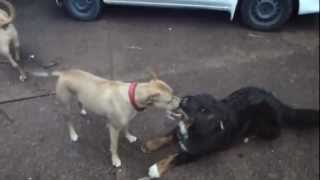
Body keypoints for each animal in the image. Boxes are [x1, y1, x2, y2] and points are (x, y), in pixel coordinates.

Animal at [34, 69, 180, 167]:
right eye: (169, 101)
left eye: (174, 93)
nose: (181, 102)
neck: (133, 95)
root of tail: (64, 72)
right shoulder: (113, 128)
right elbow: (114, 146)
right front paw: (115, 160)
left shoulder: (126, 119)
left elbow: (126, 128)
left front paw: (129, 137)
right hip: (65, 106)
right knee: (68, 121)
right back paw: (73, 135)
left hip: (80, 95)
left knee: (80, 102)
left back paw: (83, 110)